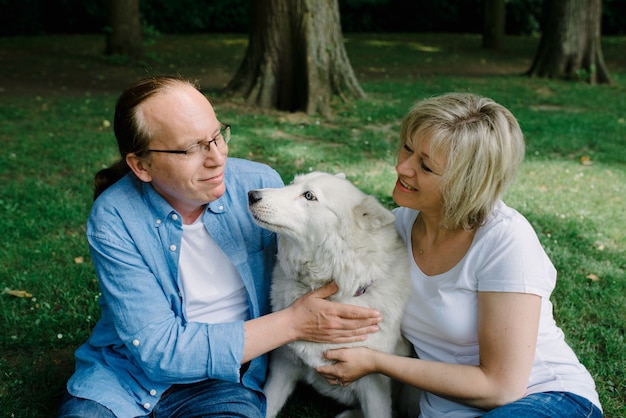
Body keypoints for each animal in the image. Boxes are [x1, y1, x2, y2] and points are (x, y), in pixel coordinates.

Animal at [246, 171, 412, 418]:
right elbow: (268, 405)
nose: (251, 195)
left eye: (309, 195)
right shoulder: (283, 367)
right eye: (292, 183)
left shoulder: (373, 385)